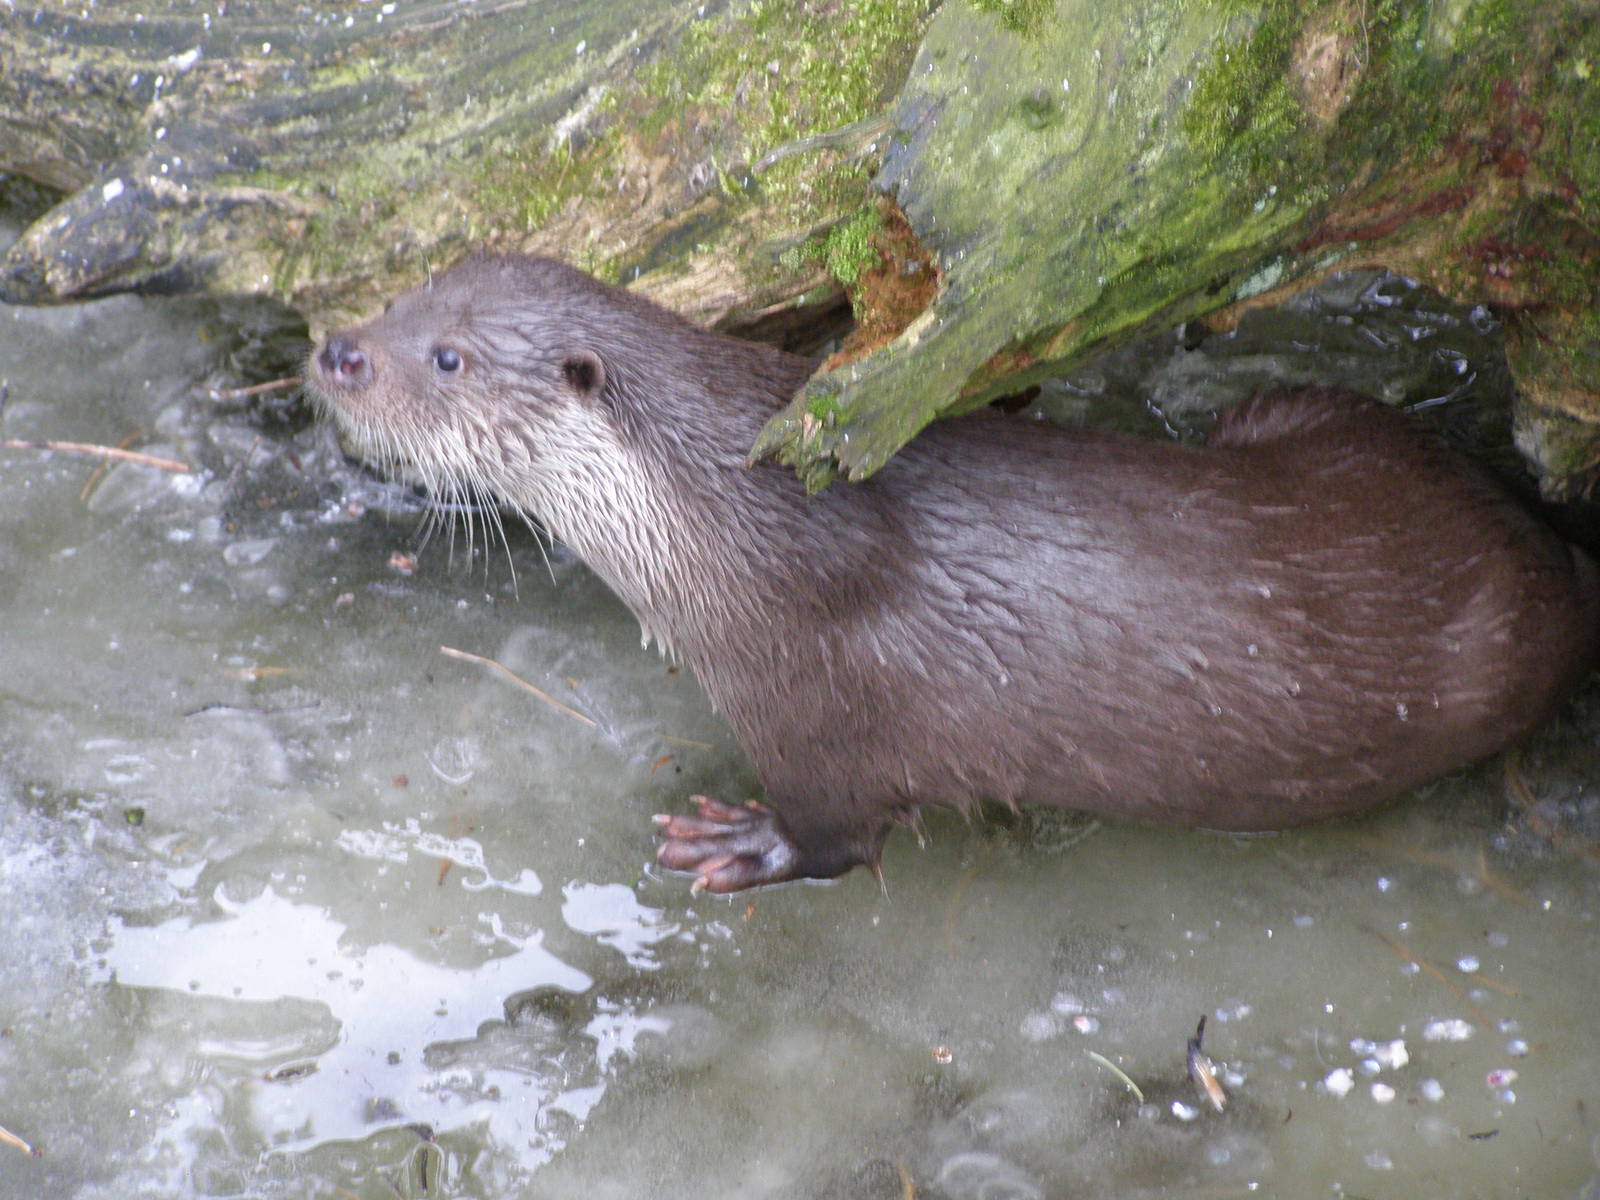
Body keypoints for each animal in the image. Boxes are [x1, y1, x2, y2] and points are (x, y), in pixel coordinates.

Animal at [309, 253, 1599, 894]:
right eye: (402, 295)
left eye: (447, 357)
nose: (337, 352)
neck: (740, 526)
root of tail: (1549, 557)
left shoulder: (816, 704)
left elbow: (835, 835)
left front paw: (739, 845)